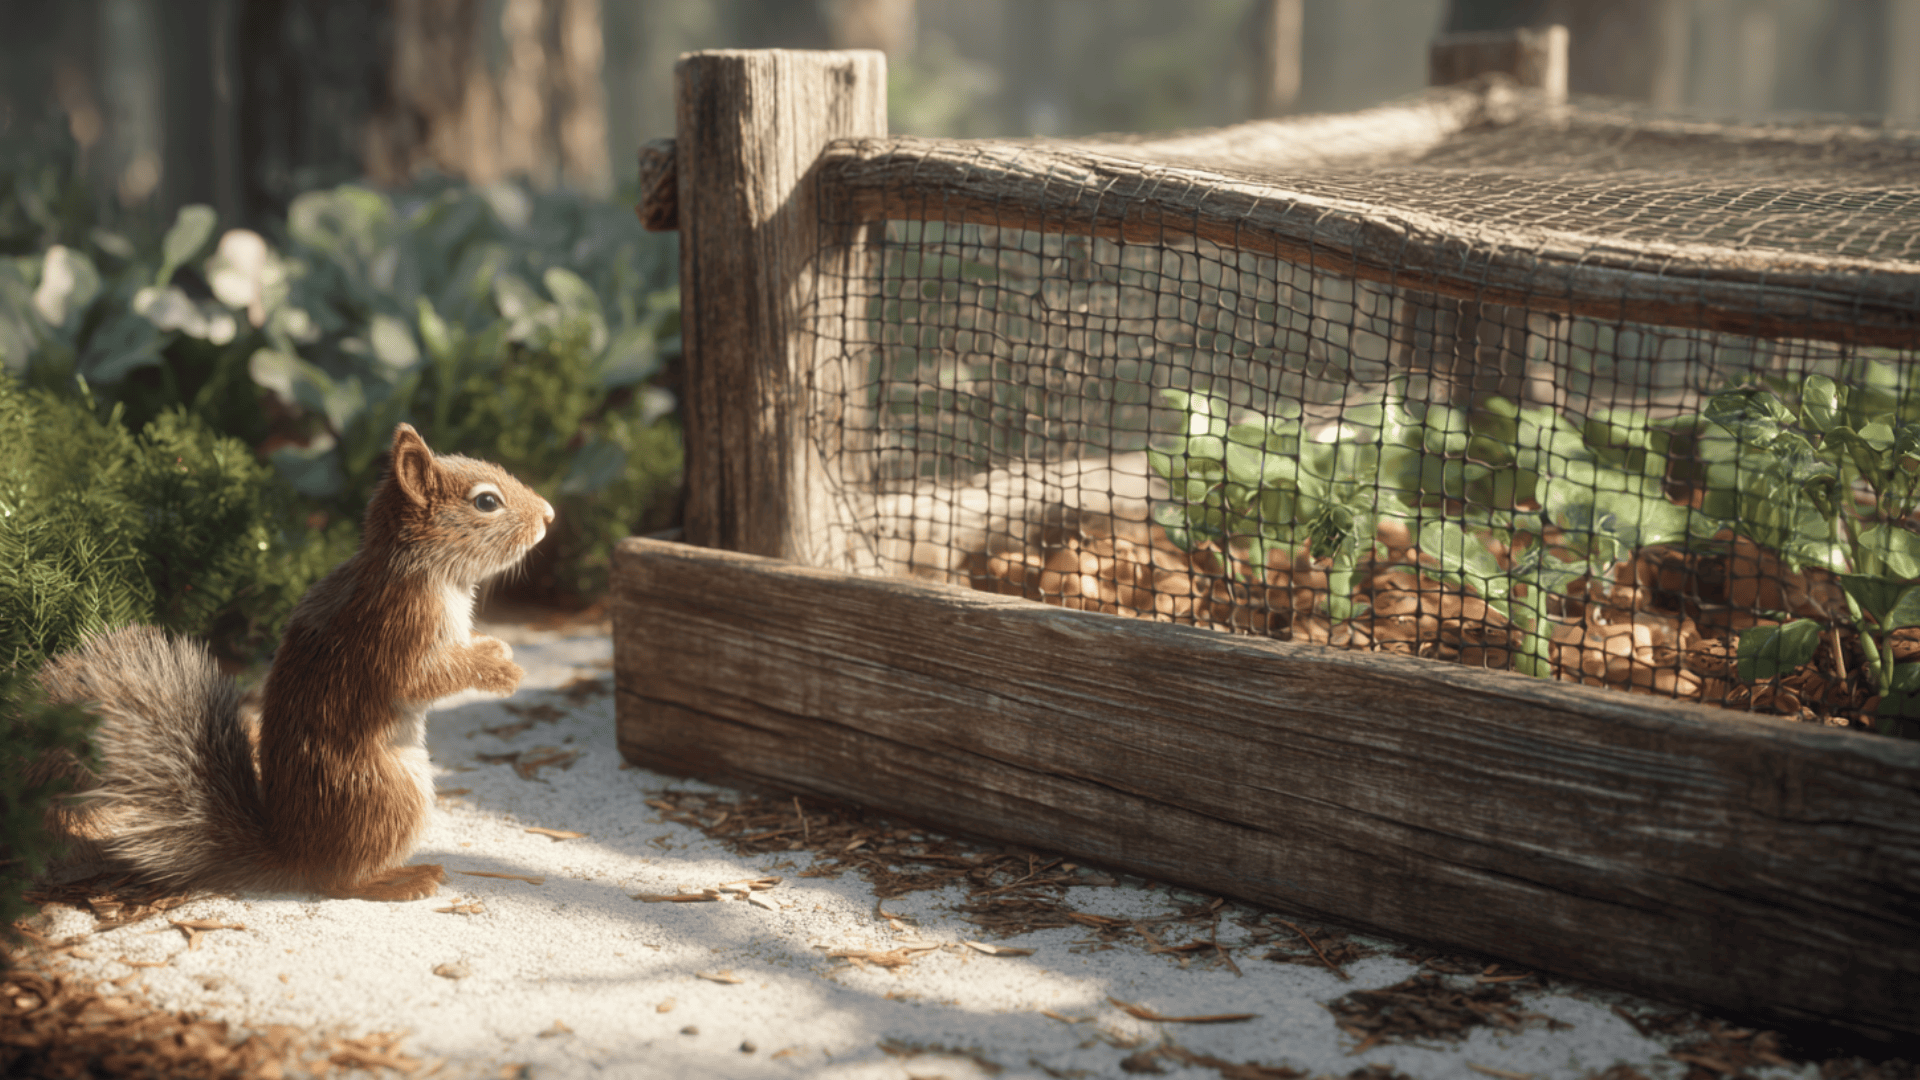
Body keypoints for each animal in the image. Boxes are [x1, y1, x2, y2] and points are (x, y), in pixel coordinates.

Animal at [32, 423, 554, 902]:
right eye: (486, 502)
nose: (549, 515)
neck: (421, 568)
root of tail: (293, 854)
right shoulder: (398, 629)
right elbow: (422, 679)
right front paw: (502, 670)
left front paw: (499, 649)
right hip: (392, 794)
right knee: (339, 882)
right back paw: (403, 880)